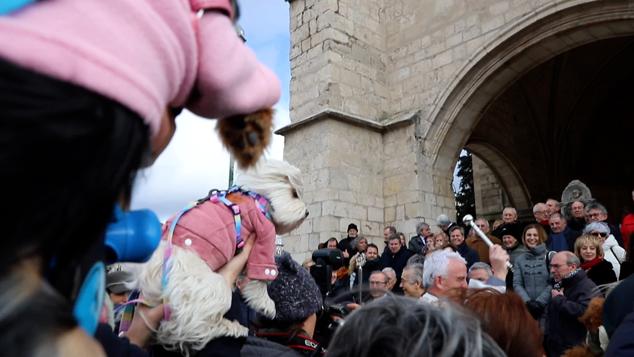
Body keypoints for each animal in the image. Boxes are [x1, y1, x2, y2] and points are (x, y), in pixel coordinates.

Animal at [139, 159, 308, 354]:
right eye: (294, 194)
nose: (307, 213)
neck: (256, 196)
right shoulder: (263, 235)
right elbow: (260, 279)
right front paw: (267, 305)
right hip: (213, 289)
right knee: (192, 328)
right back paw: (235, 328)